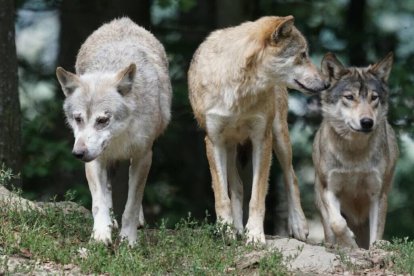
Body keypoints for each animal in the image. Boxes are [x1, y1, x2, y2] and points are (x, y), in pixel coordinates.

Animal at [55, 17, 171, 245]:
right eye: (78, 119)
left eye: (102, 120)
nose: (78, 153)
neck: (119, 138)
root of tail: (123, 20)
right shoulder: (94, 160)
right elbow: (98, 202)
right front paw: (101, 235)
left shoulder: (144, 156)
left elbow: (132, 204)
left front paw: (129, 240)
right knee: (107, 190)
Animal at [188, 16, 326, 243]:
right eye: (303, 55)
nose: (326, 84)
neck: (239, 89)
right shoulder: (214, 141)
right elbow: (222, 196)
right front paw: (226, 230)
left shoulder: (262, 139)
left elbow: (258, 196)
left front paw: (254, 234)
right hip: (230, 147)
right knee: (237, 187)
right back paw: (236, 229)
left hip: (280, 137)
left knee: (291, 177)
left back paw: (298, 225)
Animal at [314, 52, 398, 249]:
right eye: (349, 97)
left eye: (374, 97)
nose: (367, 122)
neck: (354, 153)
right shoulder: (329, 189)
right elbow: (337, 223)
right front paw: (349, 243)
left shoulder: (378, 194)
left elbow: (376, 234)